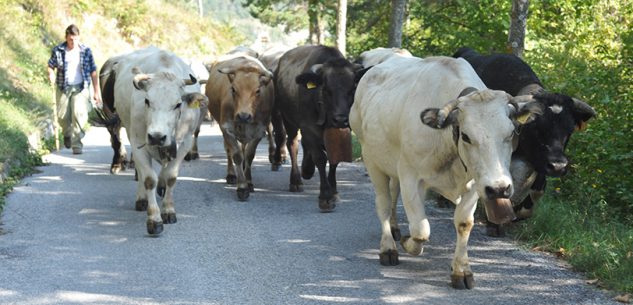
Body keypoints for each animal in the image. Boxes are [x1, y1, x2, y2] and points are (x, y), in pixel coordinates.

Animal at [111, 46, 205, 234]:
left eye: (178, 104)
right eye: (147, 101)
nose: (156, 136)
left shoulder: (185, 143)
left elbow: (171, 177)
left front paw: (168, 210)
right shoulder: (138, 142)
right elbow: (148, 178)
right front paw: (154, 219)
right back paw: (142, 198)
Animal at [206, 52, 272, 200]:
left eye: (258, 90)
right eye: (233, 89)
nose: (243, 116)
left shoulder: (260, 131)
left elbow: (249, 155)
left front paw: (249, 182)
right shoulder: (226, 128)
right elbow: (236, 155)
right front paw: (242, 187)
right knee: (229, 151)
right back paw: (231, 174)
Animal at [272, 45, 366, 211]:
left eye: (352, 89)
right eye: (326, 89)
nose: (340, 119)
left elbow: (334, 159)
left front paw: (334, 191)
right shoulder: (308, 127)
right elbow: (320, 158)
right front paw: (325, 197)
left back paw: (307, 169)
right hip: (287, 118)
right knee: (292, 144)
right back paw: (296, 180)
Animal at [348, 56, 540, 288]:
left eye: (511, 133)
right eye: (465, 136)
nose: (499, 189)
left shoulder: (476, 183)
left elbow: (464, 223)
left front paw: (461, 270)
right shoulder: (410, 176)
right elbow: (420, 230)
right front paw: (407, 242)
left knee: (393, 194)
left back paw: (394, 229)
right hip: (371, 159)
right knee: (384, 203)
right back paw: (388, 247)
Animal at [452, 47, 596, 235]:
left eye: (569, 129)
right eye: (536, 126)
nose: (559, 166)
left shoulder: (541, 161)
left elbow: (537, 191)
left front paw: (517, 213)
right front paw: (494, 223)